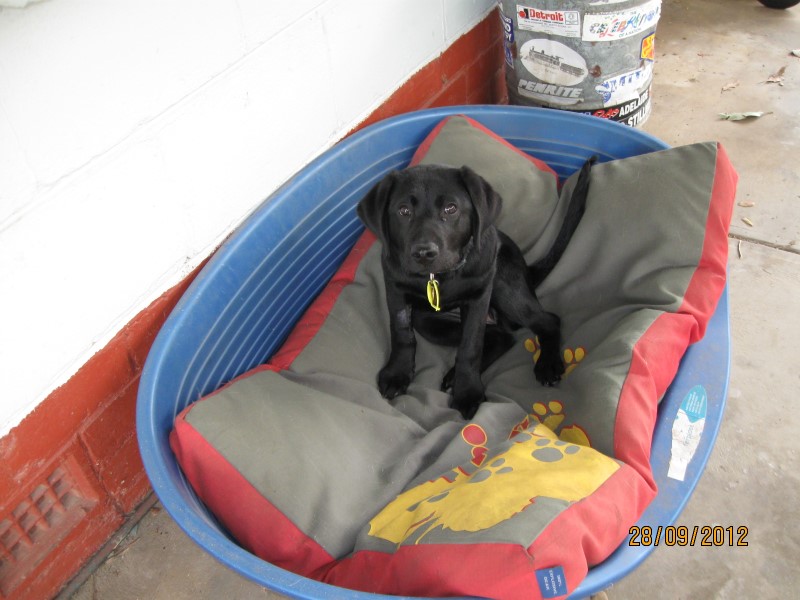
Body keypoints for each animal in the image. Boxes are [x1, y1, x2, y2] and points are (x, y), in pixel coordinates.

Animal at [357, 157, 595, 419]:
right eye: (403, 211)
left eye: (451, 209)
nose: (424, 253)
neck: (437, 277)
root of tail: (527, 270)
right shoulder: (396, 289)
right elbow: (401, 333)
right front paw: (397, 374)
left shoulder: (478, 297)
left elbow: (470, 347)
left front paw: (468, 392)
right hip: (429, 322)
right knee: (501, 337)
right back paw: (454, 375)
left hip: (504, 287)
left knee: (548, 320)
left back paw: (548, 364)